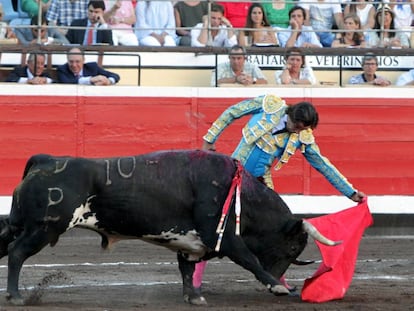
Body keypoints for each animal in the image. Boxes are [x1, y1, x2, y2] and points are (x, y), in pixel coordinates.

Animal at [0, 150, 338, 306]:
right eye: (293, 247)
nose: (286, 281)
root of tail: (46, 160)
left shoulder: (190, 244)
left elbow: (186, 269)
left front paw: (194, 297)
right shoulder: (224, 237)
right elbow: (250, 260)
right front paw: (277, 287)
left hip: (20, 225)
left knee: (6, 247)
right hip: (42, 230)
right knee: (16, 254)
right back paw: (15, 296)